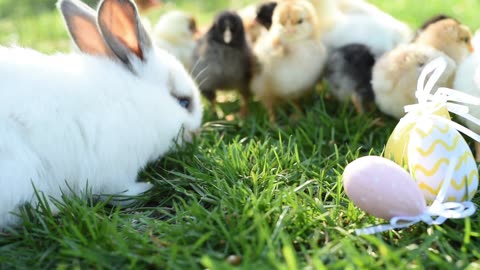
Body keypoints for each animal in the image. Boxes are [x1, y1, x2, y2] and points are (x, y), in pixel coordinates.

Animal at [0, 0, 202, 229]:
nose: (195, 134)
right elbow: (120, 192)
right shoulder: (117, 171)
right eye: (184, 102)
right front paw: (146, 187)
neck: (137, 99)